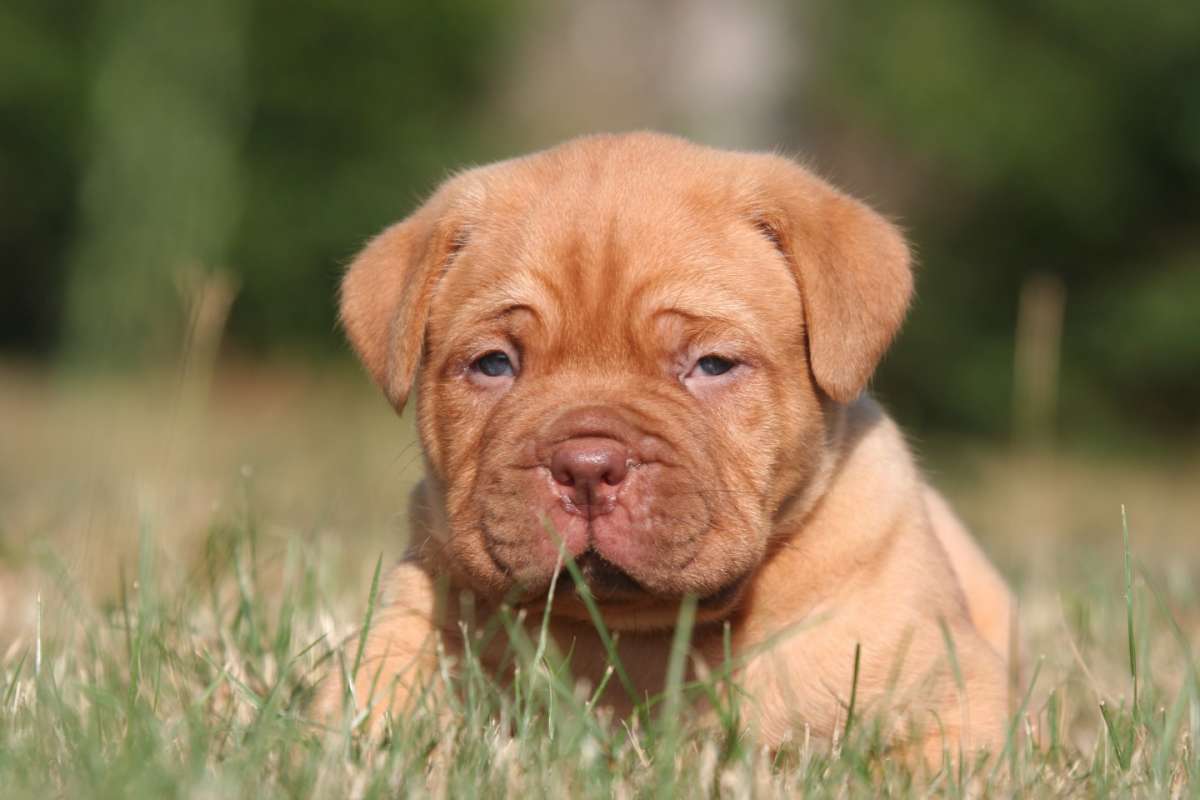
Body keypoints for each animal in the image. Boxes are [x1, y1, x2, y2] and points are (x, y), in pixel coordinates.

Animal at [316, 133, 1012, 762]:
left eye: (712, 365)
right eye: (493, 364)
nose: (587, 468)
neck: (637, 626)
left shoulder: (952, 701)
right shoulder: (412, 625)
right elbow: (366, 709)